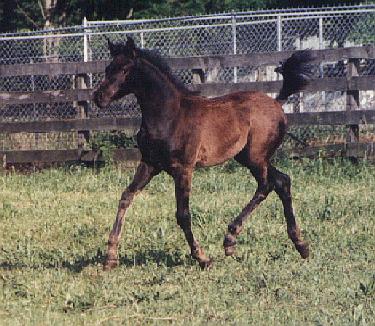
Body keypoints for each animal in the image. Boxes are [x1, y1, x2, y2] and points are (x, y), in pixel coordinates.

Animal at [94, 36, 314, 270]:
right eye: (108, 68)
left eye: (125, 69)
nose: (98, 96)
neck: (169, 116)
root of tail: (277, 103)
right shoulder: (150, 164)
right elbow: (126, 197)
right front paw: (110, 257)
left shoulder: (183, 168)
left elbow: (183, 214)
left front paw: (202, 257)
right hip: (249, 157)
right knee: (282, 181)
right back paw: (300, 244)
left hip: (256, 157)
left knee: (266, 185)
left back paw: (230, 239)